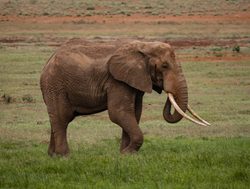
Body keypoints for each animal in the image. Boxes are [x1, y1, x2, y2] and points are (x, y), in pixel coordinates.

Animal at [40, 38, 209, 157]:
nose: (166, 91)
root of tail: (48, 63)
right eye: (164, 66)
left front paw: (125, 155)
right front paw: (127, 152)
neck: (144, 46)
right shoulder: (117, 80)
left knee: (56, 119)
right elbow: (118, 113)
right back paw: (64, 156)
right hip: (55, 85)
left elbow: (135, 113)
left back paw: (52, 156)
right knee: (62, 117)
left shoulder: (136, 80)